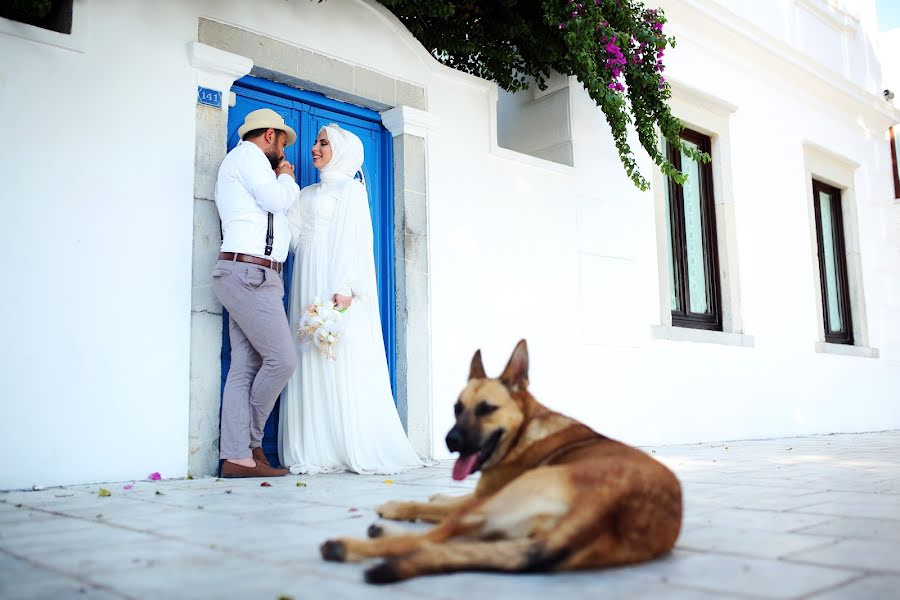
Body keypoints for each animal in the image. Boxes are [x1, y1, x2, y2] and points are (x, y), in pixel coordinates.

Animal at [322, 340, 684, 584]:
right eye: (457, 408)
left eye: (486, 409)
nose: (451, 441)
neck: (523, 430)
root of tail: (607, 511)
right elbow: (443, 501)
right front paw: (436, 495)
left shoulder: (483, 497)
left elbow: (430, 507)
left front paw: (399, 505)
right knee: (449, 544)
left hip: (496, 505)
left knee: (427, 539)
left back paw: (350, 544)